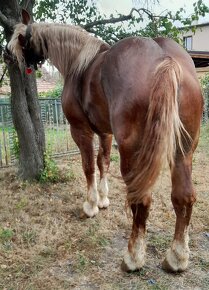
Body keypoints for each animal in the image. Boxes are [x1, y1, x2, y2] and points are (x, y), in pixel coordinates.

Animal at [7, 9, 202, 272]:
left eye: (19, 36)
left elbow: (89, 166)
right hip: (183, 151)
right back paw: (177, 257)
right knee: (184, 196)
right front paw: (103, 199)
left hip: (134, 154)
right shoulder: (105, 133)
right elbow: (103, 163)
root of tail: (165, 59)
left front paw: (90, 205)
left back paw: (133, 257)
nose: (6, 54)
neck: (78, 62)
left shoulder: (81, 131)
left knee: (142, 199)